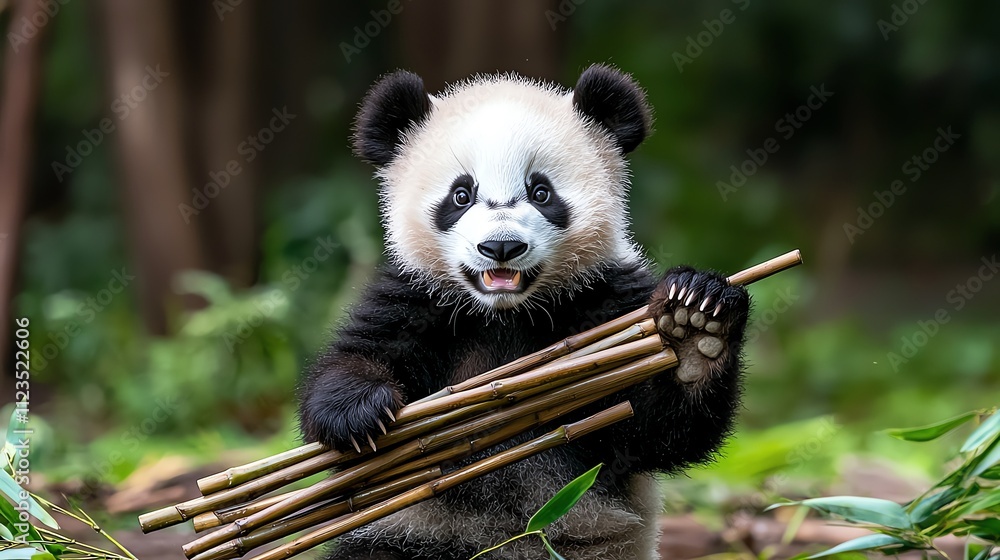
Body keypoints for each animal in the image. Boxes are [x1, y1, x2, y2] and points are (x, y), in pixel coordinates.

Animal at [299, 65, 750, 560]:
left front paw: (694, 328)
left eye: (540, 192)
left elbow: (657, 430)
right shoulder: (417, 298)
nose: (501, 247)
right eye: (461, 195)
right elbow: (352, 365)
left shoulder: (608, 299)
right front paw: (361, 412)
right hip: (413, 535)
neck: (506, 313)